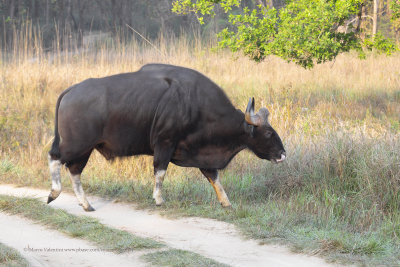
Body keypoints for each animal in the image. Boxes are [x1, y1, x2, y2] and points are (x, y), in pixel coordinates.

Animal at [47, 64, 284, 211]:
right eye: (269, 133)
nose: (282, 154)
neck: (195, 105)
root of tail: (70, 91)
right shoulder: (165, 143)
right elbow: (160, 172)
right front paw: (159, 199)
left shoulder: (202, 153)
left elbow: (213, 177)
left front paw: (226, 203)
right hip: (77, 144)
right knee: (55, 158)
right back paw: (54, 193)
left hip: (86, 148)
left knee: (74, 170)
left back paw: (86, 204)